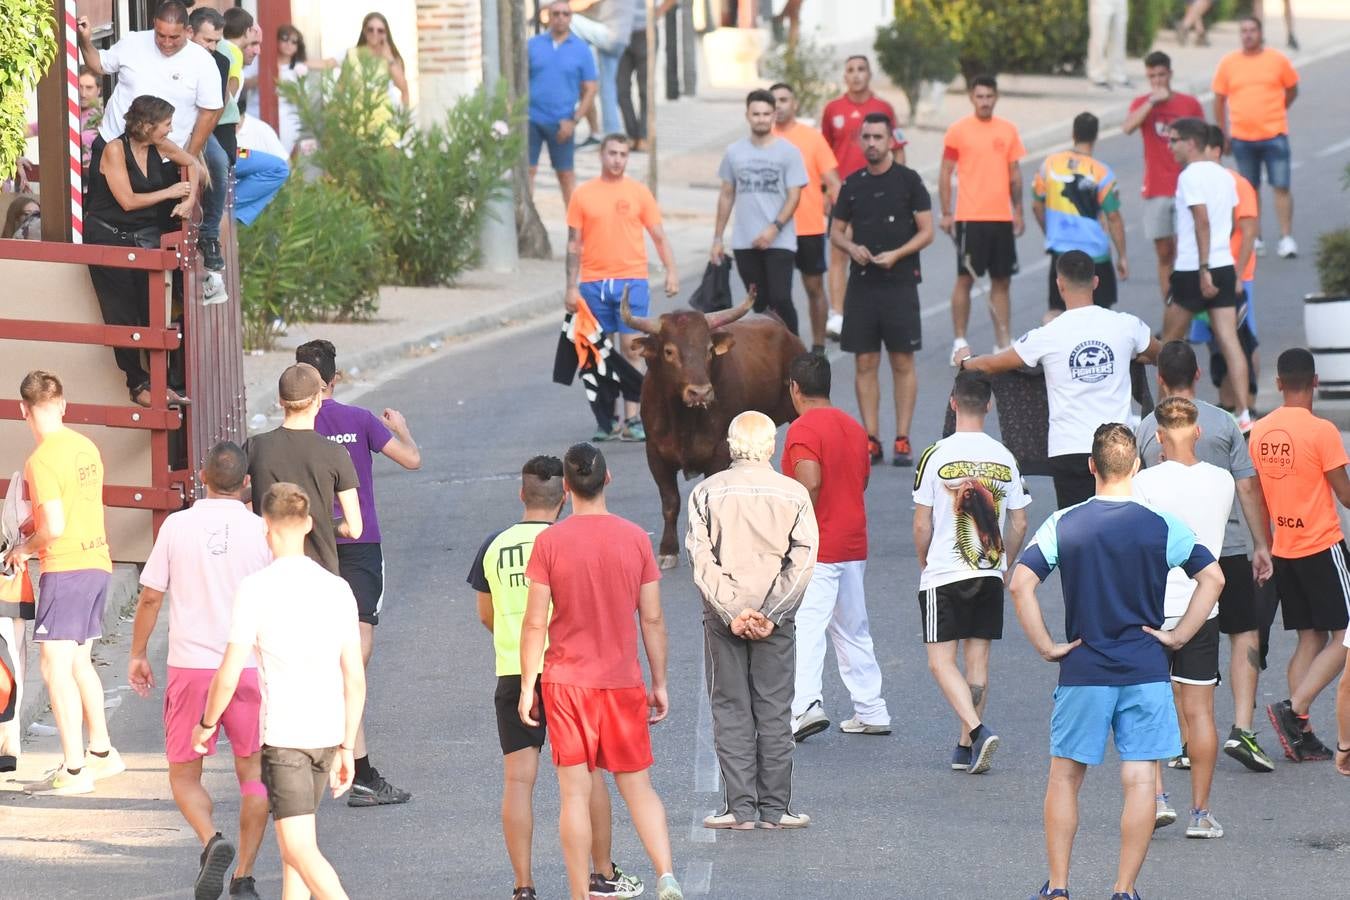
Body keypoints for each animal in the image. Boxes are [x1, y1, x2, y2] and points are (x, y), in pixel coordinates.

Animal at [618, 287, 799, 569]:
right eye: (669, 351)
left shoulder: (719, 453)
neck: (683, 419)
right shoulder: (655, 454)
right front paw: (668, 551)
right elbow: (670, 501)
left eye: (709, 349)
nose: (700, 392)